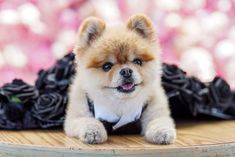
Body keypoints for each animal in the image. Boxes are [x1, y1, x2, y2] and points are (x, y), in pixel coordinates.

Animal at [64, 14, 176, 144]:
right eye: (107, 66)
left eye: (137, 61)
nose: (126, 71)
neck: (121, 104)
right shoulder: (76, 117)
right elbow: (87, 121)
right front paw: (93, 131)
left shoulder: (155, 109)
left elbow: (159, 121)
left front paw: (162, 132)